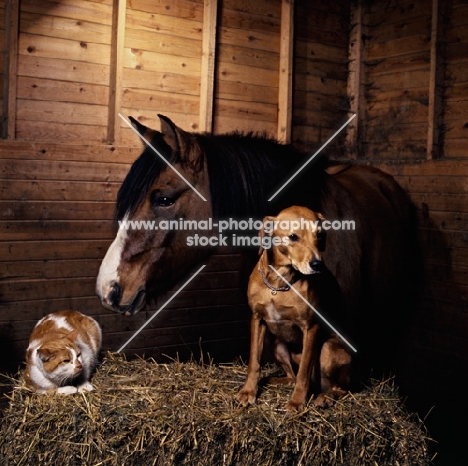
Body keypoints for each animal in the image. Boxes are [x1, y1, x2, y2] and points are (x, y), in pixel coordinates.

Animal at [236, 206, 352, 410]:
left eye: (319, 236)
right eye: (293, 237)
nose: (317, 264)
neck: (278, 283)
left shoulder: (311, 328)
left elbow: (304, 371)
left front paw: (297, 401)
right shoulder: (257, 319)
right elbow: (254, 362)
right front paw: (249, 391)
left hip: (327, 349)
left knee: (338, 388)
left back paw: (325, 397)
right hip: (276, 344)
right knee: (292, 375)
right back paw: (275, 380)